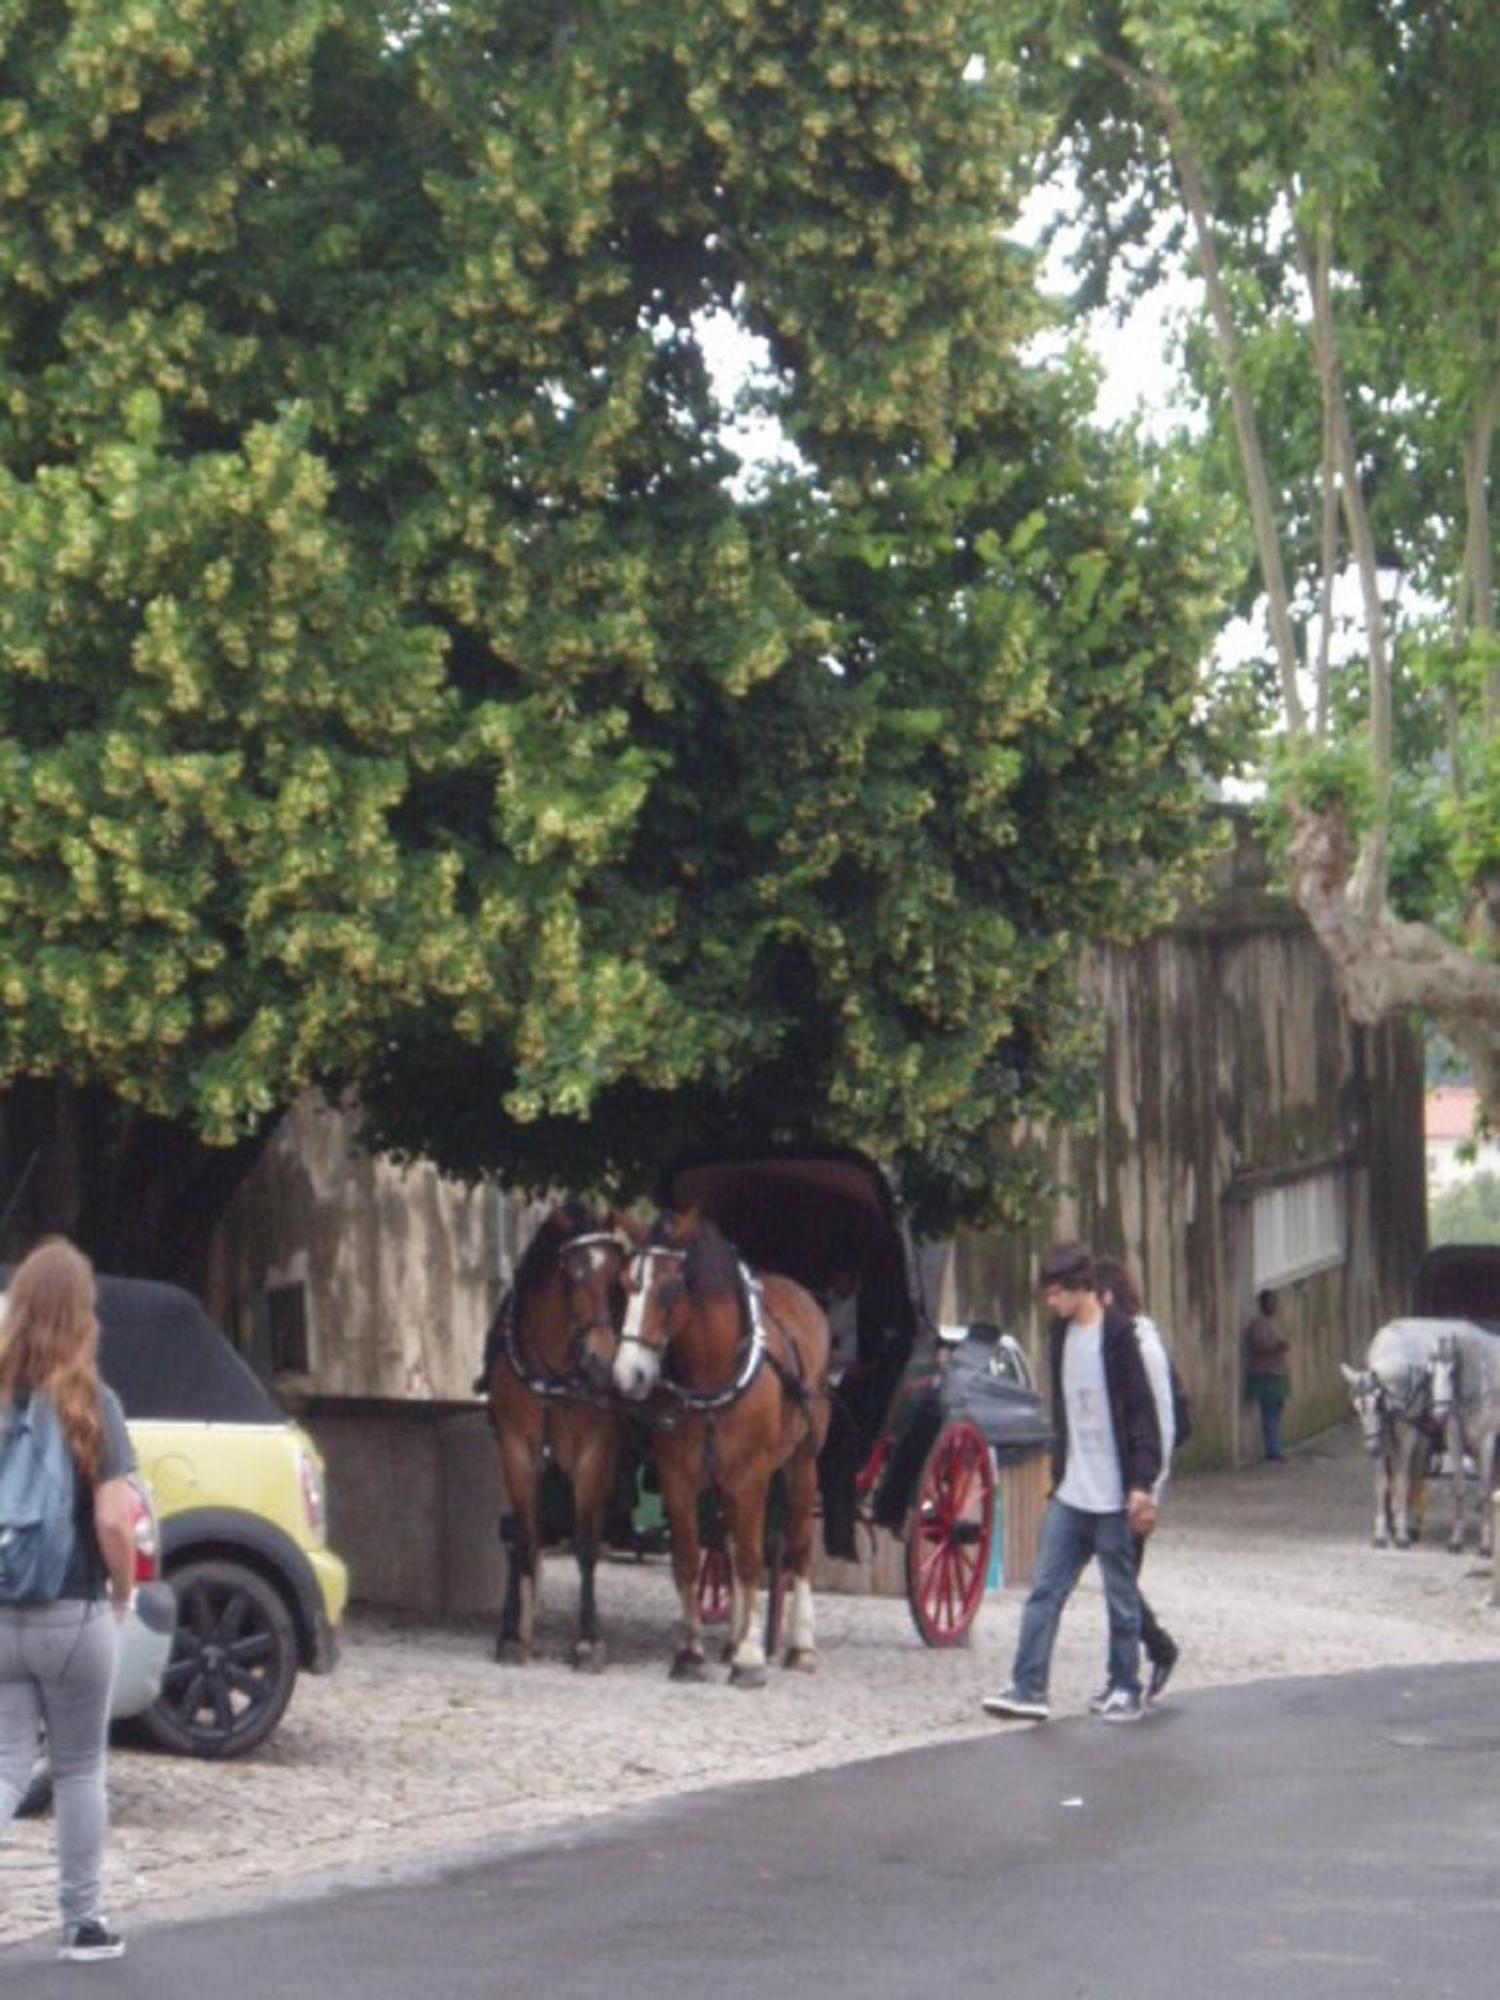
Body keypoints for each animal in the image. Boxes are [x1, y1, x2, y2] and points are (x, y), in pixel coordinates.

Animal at [484, 1200, 632, 1672]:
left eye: (617, 1277)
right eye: (573, 1273)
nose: (601, 1360)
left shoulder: (594, 1453)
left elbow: (586, 1543)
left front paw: (588, 1640)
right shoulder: (516, 1449)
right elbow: (525, 1535)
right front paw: (514, 1636)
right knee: (520, 1534)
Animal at [608, 1208, 836, 1680]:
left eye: (669, 1287)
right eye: (623, 1283)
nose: (627, 1375)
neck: (714, 1372)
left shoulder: (751, 1477)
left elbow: (751, 1560)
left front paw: (750, 1657)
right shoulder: (679, 1477)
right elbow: (689, 1559)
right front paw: (692, 1651)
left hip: (801, 1463)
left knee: (798, 1546)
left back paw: (799, 1646)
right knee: (727, 1548)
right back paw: (732, 1639)